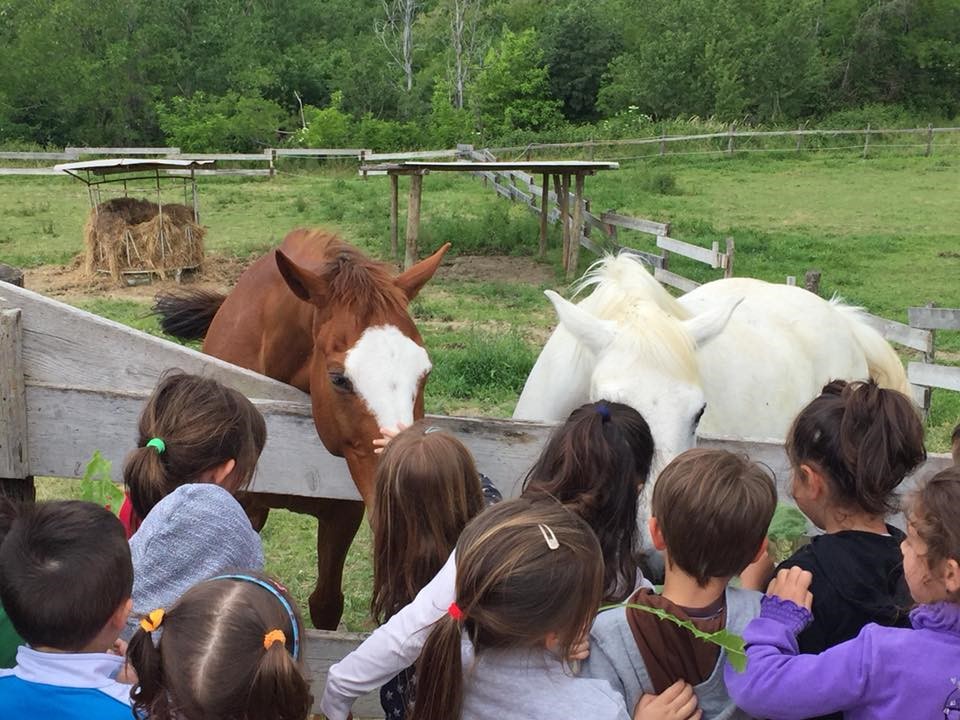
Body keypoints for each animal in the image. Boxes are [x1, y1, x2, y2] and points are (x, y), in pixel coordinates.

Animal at [155, 228, 450, 628]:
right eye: (339, 378)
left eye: (425, 371)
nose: (407, 504)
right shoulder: (243, 507)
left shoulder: (343, 516)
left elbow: (326, 602)